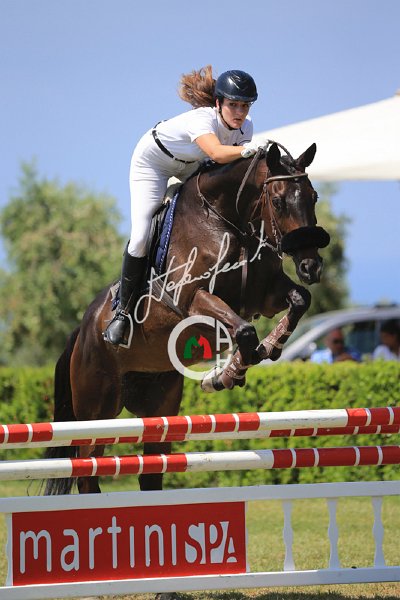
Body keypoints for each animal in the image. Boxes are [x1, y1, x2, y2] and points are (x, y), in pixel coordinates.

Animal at [44, 141, 330, 497]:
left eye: (313, 196)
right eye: (277, 200)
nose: (310, 266)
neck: (230, 223)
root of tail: (82, 332)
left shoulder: (263, 295)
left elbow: (299, 301)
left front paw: (269, 347)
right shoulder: (194, 300)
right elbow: (244, 331)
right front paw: (225, 375)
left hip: (159, 406)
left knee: (150, 473)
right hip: (96, 410)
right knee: (86, 471)